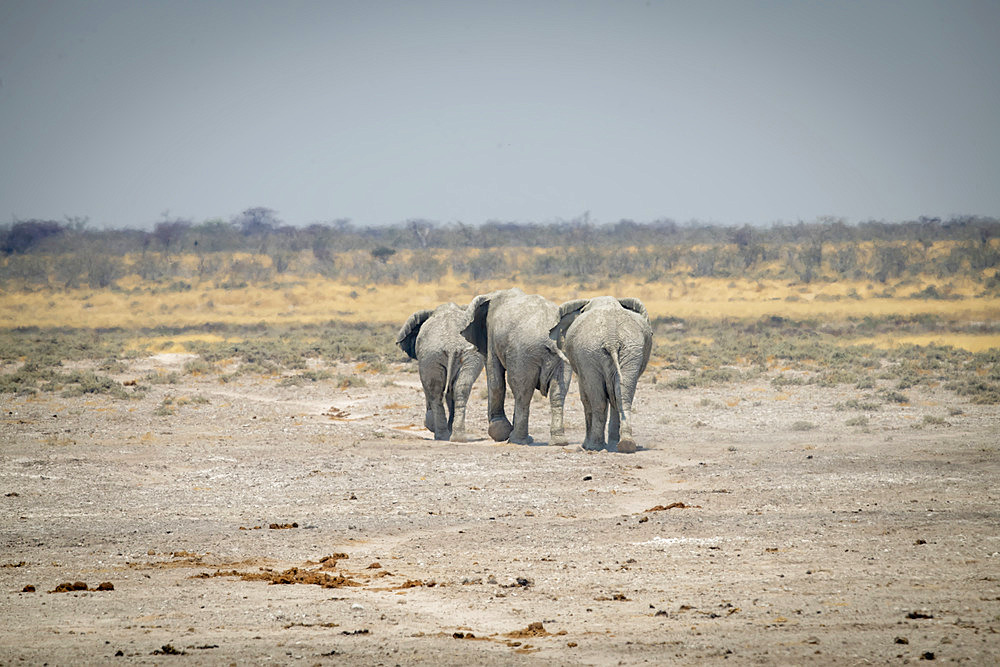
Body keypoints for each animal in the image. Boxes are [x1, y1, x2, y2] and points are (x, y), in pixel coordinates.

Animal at [394, 304, 484, 440]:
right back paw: (458, 437)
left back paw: (441, 436)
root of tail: (452, 346)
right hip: (469, 357)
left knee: (434, 392)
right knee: (461, 388)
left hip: (431, 357)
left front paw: (429, 425)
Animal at [460, 290, 572, 446]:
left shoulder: (491, 336)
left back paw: (516, 440)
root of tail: (550, 340)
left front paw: (499, 431)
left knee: (522, 393)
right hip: (562, 353)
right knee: (558, 393)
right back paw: (558, 442)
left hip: (523, 353)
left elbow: (496, 380)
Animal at [552, 298, 652, 454]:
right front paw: (613, 444)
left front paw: (587, 445)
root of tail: (612, 340)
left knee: (598, 401)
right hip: (630, 351)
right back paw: (626, 445)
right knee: (623, 396)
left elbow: (585, 398)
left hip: (589, 353)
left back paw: (595, 446)